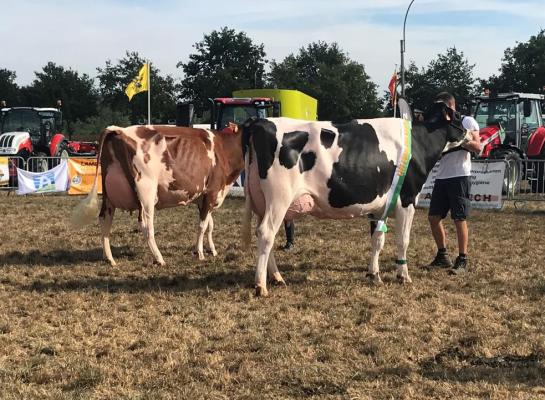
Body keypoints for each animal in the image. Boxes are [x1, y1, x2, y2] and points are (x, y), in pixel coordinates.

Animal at [71, 123, 242, 264]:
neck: (222, 148)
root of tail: (119, 130)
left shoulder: (204, 198)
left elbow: (209, 225)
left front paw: (212, 250)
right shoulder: (211, 192)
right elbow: (202, 225)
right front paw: (199, 253)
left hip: (109, 195)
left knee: (105, 219)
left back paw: (109, 258)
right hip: (146, 192)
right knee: (146, 224)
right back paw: (159, 258)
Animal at [240, 102, 470, 296]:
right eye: (459, 115)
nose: (472, 133)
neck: (420, 142)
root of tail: (259, 122)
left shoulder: (380, 207)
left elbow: (377, 240)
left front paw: (374, 274)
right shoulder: (407, 199)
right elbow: (403, 240)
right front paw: (403, 275)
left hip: (262, 200)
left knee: (264, 233)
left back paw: (277, 277)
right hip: (279, 197)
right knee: (266, 233)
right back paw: (261, 285)